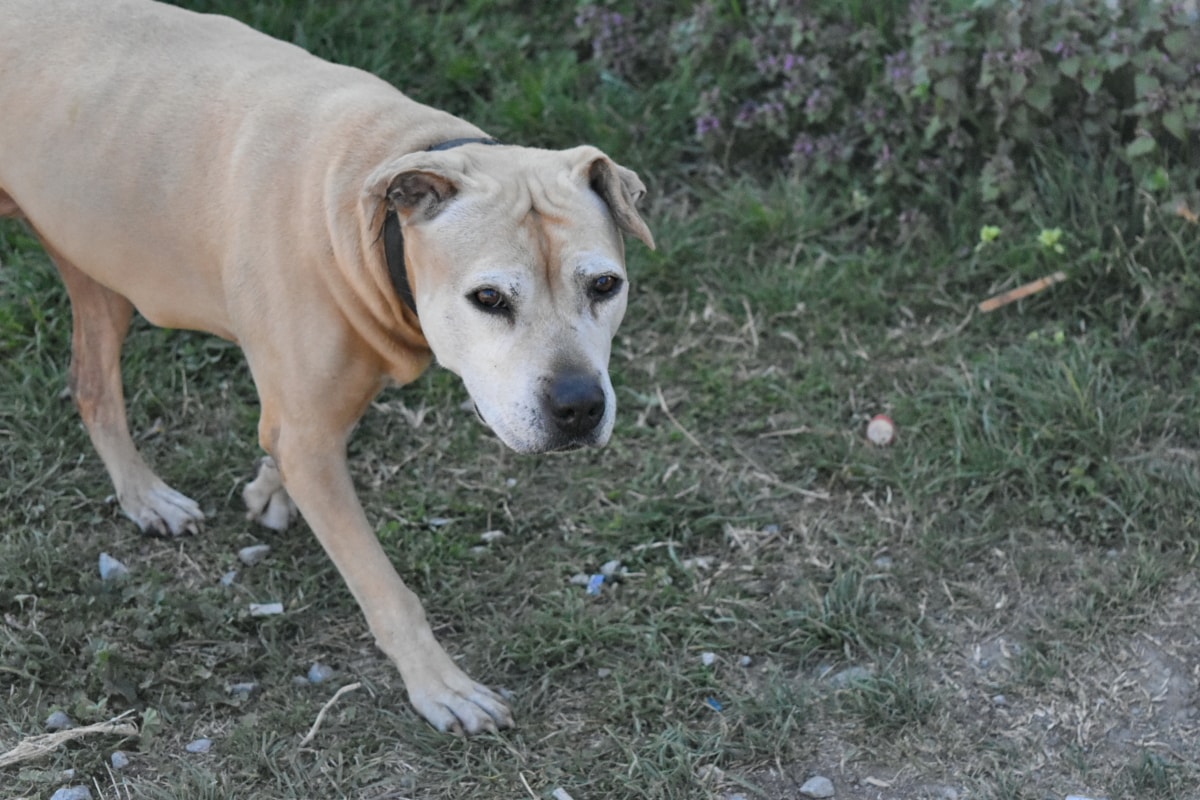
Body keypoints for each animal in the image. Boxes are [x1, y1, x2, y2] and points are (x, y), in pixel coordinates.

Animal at [2, 0, 657, 738]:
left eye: (604, 286)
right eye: (488, 298)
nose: (579, 406)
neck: (372, 211)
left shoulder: (311, 419)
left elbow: (279, 439)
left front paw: (268, 488)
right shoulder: (313, 439)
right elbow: (385, 588)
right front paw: (440, 686)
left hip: (94, 268)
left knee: (90, 384)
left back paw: (144, 497)